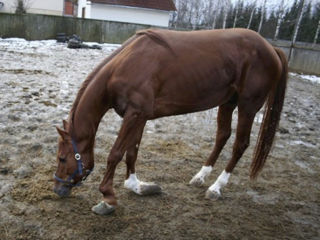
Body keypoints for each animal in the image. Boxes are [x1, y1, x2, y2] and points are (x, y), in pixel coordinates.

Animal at [52, 28, 288, 216]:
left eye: (62, 158)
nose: (57, 189)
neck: (126, 65)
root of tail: (271, 48)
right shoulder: (140, 117)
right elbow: (132, 151)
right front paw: (136, 185)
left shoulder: (135, 115)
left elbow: (115, 154)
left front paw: (107, 198)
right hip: (228, 102)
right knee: (222, 136)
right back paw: (201, 177)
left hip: (248, 106)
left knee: (240, 144)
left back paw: (216, 187)